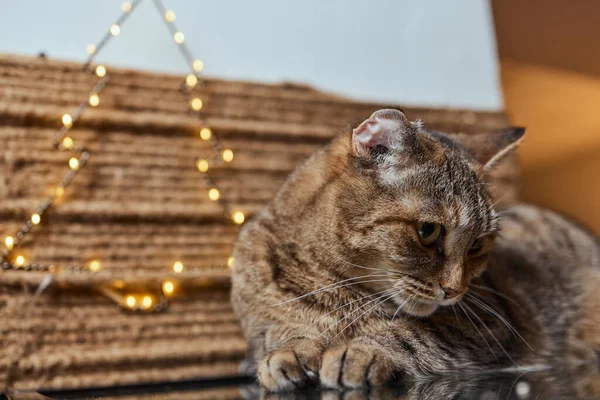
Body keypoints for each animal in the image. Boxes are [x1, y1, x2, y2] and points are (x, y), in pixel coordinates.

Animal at [229, 109, 596, 394]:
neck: (330, 286)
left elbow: (411, 333)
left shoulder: (488, 324)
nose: (455, 290)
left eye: (477, 244)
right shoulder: (258, 326)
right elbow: (278, 331)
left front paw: (362, 351)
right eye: (428, 231)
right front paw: (290, 351)